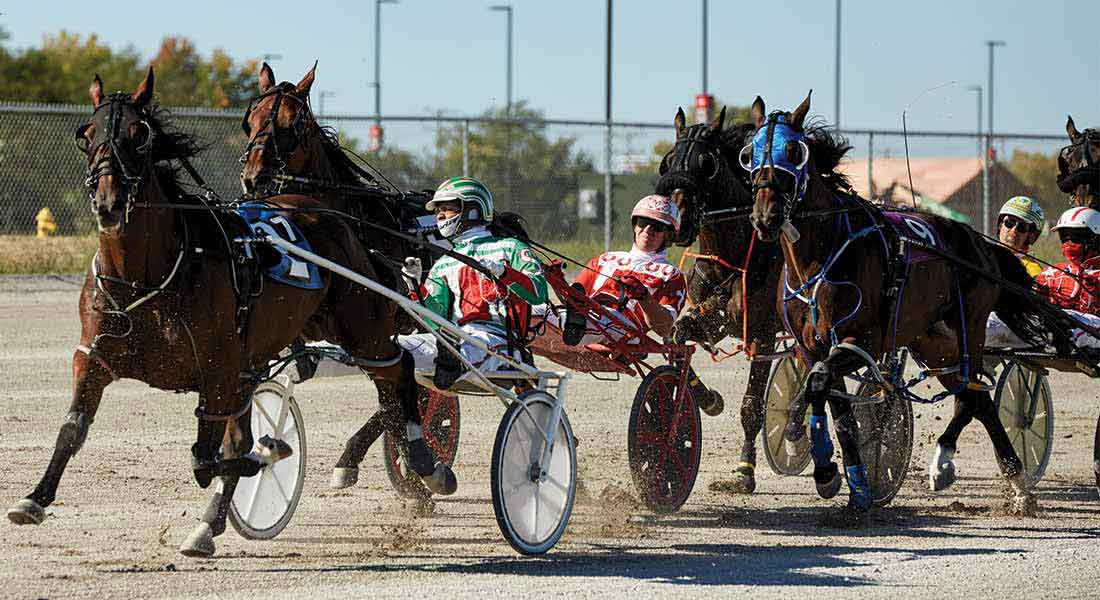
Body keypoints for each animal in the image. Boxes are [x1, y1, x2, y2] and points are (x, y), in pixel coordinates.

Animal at [6, 67, 448, 554]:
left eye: (139, 135)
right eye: (86, 135)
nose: (109, 202)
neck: (147, 276)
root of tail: (335, 218)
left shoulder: (220, 370)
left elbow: (211, 457)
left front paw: (271, 453)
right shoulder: (96, 357)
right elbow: (74, 429)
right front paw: (33, 499)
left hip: (365, 331)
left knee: (401, 374)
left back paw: (425, 463)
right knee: (388, 388)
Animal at [651, 106, 783, 491]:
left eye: (706, 164)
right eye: (668, 162)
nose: (677, 222)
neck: (734, 258)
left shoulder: (762, 334)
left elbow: (752, 406)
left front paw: (744, 471)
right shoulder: (708, 318)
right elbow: (677, 340)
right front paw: (708, 399)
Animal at [748, 92, 1073, 510]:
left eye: (792, 151)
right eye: (749, 154)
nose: (765, 217)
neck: (821, 256)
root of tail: (980, 244)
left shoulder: (860, 342)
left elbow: (819, 386)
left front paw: (827, 469)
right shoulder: (811, 348)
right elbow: (834, 405)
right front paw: (850, 481)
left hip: (970, 327)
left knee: (971, 396)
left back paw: (959, 466)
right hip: (934, 342)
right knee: (978, 399)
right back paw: (1010, 479)